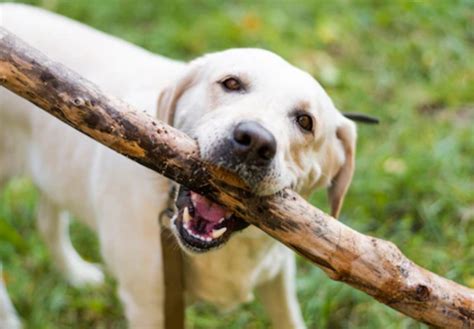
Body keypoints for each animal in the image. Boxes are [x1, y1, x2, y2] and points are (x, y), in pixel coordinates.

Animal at [0, 3, 356, 328]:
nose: (254, 141)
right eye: (231, 83)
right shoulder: (148, 305)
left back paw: (76, 273)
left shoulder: (278, 277)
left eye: (305, 121)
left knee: (47, 220)